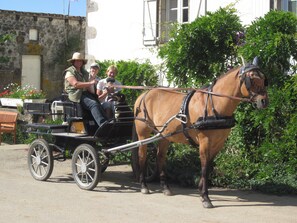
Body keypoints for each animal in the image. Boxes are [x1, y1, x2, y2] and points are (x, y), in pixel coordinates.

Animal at [133, 60, 268, 208]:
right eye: (252, 79)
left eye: (264, 79)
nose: (264, 101)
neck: (214, 105)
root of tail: (144, 94)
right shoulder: (205, 141)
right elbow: (204, 166)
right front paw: (205, 197)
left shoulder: (219, 143)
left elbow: (209, 166)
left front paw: (201, 190)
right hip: (143, 134)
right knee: (142, 156)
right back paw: (143, 185)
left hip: (164, 135)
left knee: (160, 157)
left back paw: (165, 187)